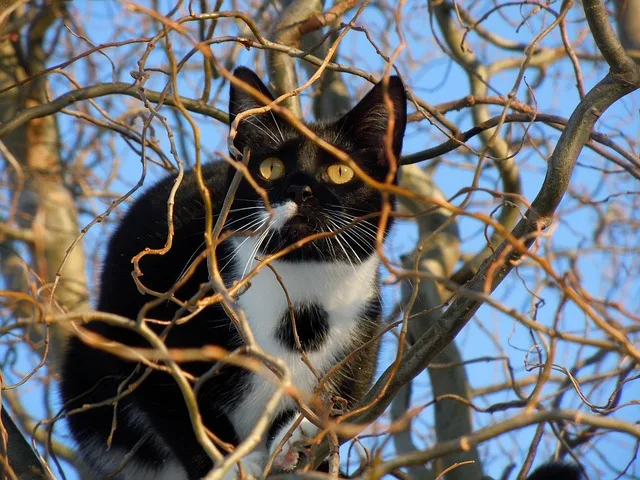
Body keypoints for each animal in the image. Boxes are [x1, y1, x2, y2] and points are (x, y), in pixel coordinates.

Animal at [62, 65, 408, 478]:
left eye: (340, 172)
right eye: (271, 167)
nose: (301, 190)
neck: (300, 297)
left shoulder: (363, 339)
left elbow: (340, 404)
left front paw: (294, 440)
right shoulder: (142, 321)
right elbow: (177, 406)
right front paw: (228, 463)